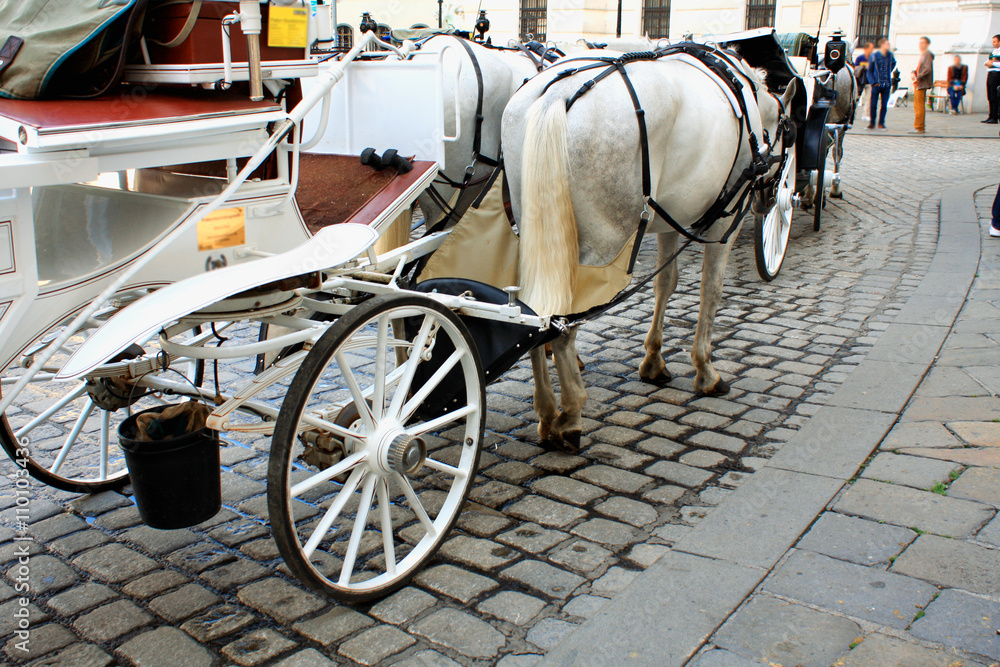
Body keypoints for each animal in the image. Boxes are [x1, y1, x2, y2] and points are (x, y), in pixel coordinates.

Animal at [504, 49, 792, 452]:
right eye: (789, 136)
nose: (769, 202)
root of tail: (556, 95)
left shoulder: (671, 223)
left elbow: (665, 284)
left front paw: (654, 360)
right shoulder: (722, 226)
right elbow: (711, 291)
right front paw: (705, 369)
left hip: (535, 239)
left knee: (532, 315)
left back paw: (546, 413)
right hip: (597, 250)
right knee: (564, 327)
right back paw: (571, 415)